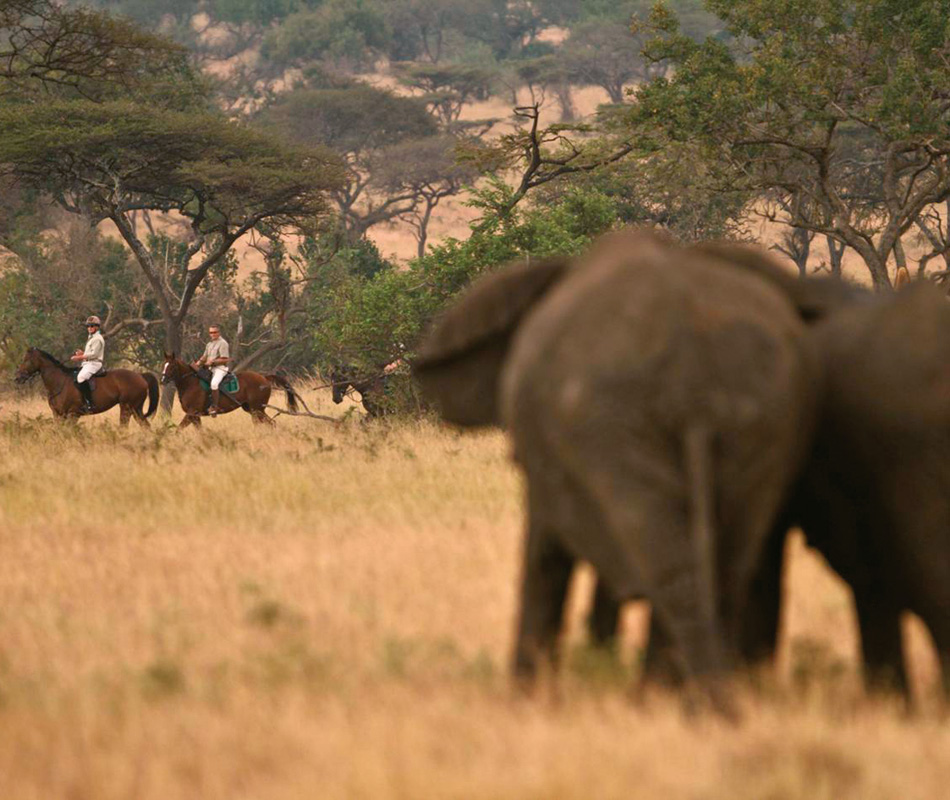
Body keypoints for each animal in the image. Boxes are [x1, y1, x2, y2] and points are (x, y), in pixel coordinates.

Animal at [14, 346, 160, 428]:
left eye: (26, 360)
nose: (17, 378)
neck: (59, 382)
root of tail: (140, 376)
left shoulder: (73, 414)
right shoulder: (58, 415)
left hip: (127, 408)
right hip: (136, 410)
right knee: (146, 426)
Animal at [161, 350, 298, 424]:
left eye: (172, 366)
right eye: (164, 365)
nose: (162, 380)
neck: (190, 383)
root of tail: (264, 378)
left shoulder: (192, 413)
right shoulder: (194, 417)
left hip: (257, 409)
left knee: (271, 423)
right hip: (251, 409)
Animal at [416, 227, 824, 708]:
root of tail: (694, 375)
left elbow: (545, 554)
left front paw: (525, 702)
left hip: (613, 421)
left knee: (670, 567)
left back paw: (670, 702)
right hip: (760, 420)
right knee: (720, 567)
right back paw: (691, 703)